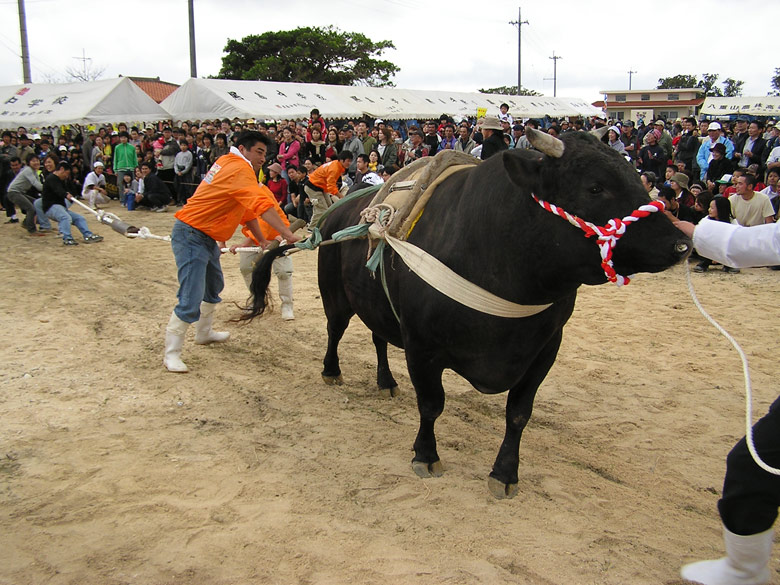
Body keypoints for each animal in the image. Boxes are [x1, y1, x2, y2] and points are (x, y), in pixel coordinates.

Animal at [242, 131, 688, 498]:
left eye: (636, 178)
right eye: (595, 187)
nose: (681, 244)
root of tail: (334, 214)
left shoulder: (545, 348)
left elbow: (518, 414)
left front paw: (505, 474)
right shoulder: (423, 347)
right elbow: (431, 404)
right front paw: (426, 455)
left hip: (376, 303)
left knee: (378, 338)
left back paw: (386, 381)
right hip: (335, 295)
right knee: (335, 331)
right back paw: (332, 371)